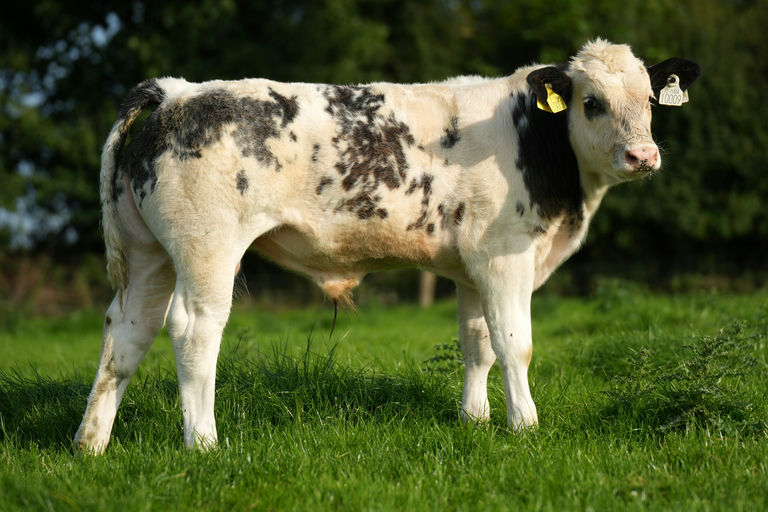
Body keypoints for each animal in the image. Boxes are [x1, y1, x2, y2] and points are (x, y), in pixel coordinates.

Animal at [74, 39, 700, 452]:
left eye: (649, 100)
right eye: (591, 102)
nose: (643, 156)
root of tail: (179, 91)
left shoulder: (472, 266)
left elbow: (478, 345)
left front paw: (475, 420)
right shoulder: (505, 256)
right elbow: (514, 344)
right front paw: (524, 425)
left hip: (149, 255)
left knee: (126, 332)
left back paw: (91, 443)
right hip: (207, 250)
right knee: (193, 330)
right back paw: (203, 442)